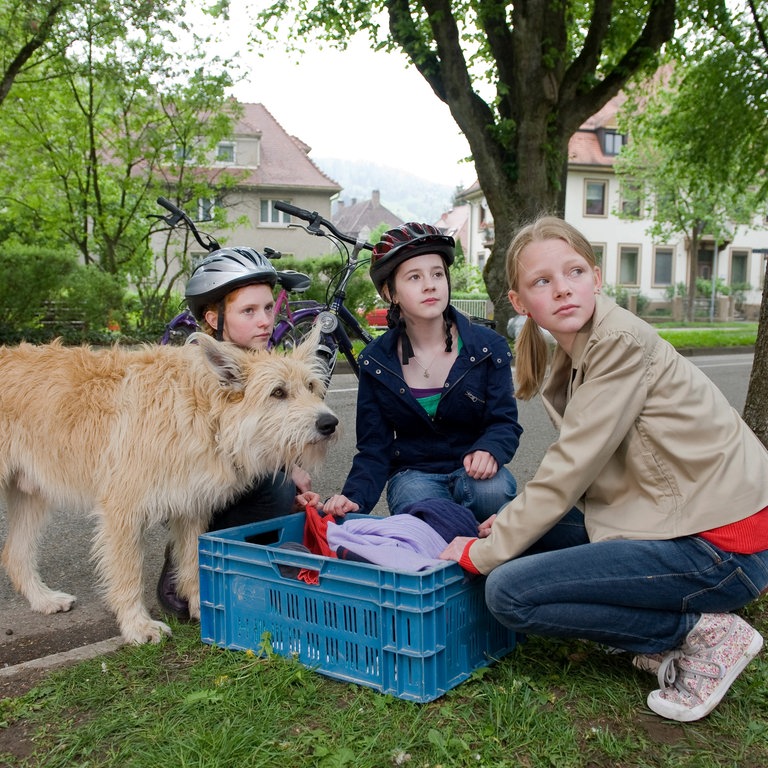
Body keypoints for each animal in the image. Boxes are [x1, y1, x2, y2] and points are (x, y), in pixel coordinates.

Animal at [0, 330, 338, 640]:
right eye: (278, 392)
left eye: (311, 387)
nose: (329, 423)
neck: (205, 413)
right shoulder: (122, 510)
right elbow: (128, 571)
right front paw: (137, 625)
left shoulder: (191, 506)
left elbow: (191, 561)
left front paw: (206, 608)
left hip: (30, 494)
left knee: (15, 554)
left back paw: (44, 600)